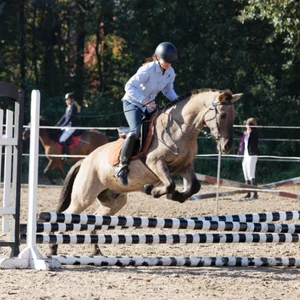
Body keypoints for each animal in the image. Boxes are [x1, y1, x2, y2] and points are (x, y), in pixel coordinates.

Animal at [50, 88, 243, 254]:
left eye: (234, 116)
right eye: (223, 115)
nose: (226, 147)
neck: (181, 128)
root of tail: (84, 161)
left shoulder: (183, 166)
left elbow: (194, 186)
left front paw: (176, 196)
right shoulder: (156, 162)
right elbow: (170, 184)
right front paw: (153, 190)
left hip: (114, 201)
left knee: (95, 219)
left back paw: (96, 251)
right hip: (83, 197)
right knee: (66, 216)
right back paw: (53, 249)